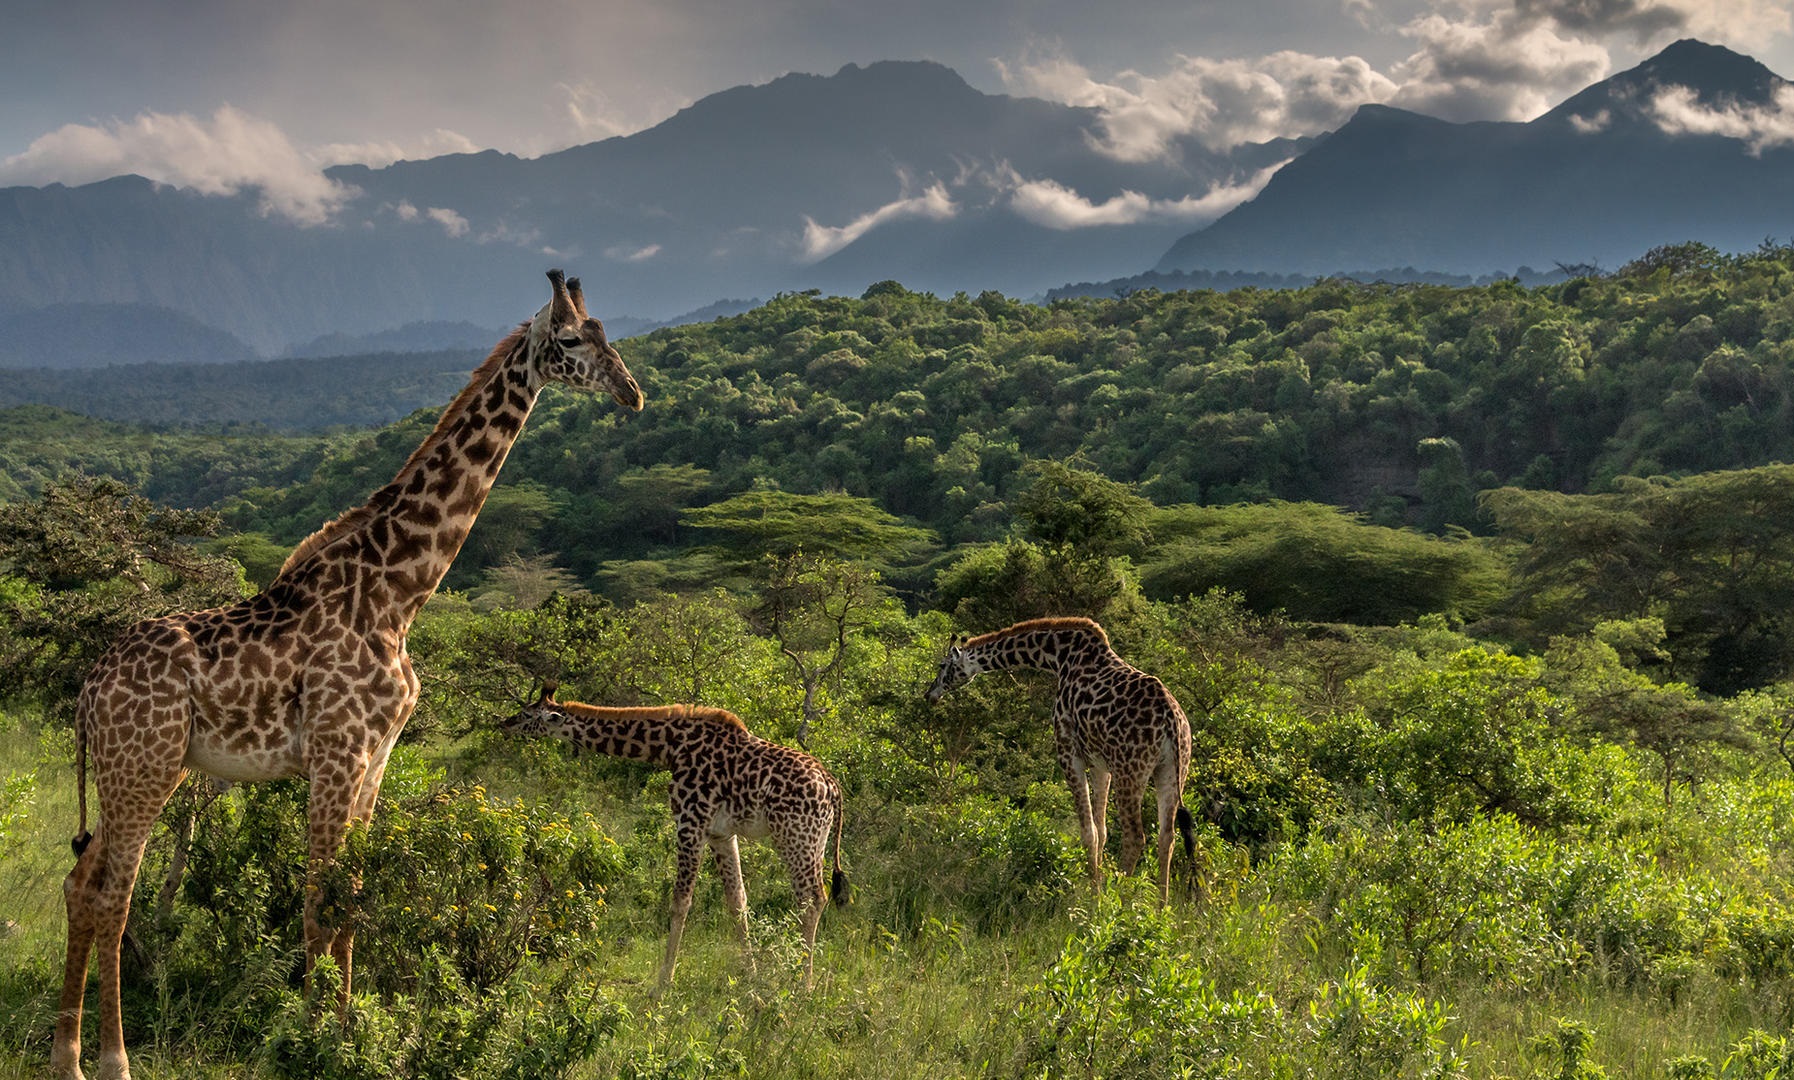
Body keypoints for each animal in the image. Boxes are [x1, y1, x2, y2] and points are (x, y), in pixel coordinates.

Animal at [50, 269, 645, 1076]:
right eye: (574, 340)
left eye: (609, 334)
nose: (632, 393)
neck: (400, 591)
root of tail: (88, 690)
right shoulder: (337, 752)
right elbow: (317, 900)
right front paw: (309, 1040)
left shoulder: (376, 757)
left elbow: (352, 899)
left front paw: (346, 1030)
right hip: (143, 766)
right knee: (114, 895)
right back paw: (111, 1059)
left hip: (138, 770)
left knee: (82, 884)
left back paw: (67, 1055)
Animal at [498, 685, 846, 990]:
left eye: (528, 714)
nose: (504, 724)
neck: (670, 747)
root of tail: (833, 788)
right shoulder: (721, 833)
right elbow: (737, 902)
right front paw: (751, 976)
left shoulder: (690, 822)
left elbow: (681, 901)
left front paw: (662, 983)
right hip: (815, 841)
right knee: (810, 898)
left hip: (796, 836)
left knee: (812, 898)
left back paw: (802, 984)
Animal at [925, 613, 1191, 900]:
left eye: (942, 665)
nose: (930, 694)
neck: (1058, 657)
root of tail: (1171, 719)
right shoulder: (1101, 764)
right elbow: (1102, 830)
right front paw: (1097, 885)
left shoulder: (1068, 752)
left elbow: (1088, 831)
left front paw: (1094, 897)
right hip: (1172, 770)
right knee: (1167, 836)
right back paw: (1162, 906)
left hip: (1131, 770)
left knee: (1135, 837)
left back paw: (1119, 901)